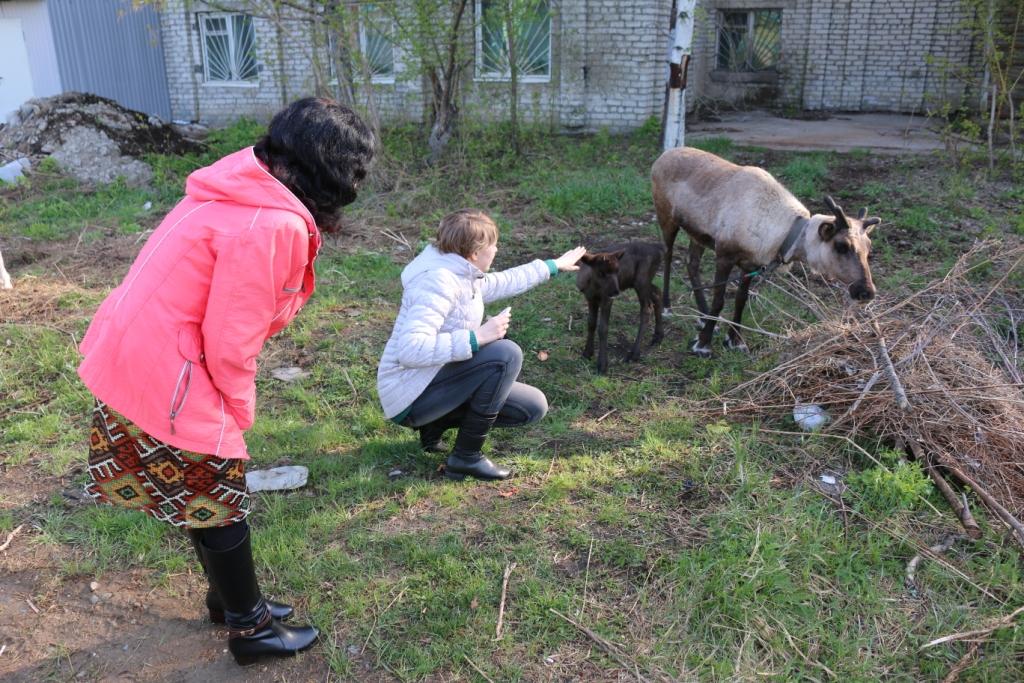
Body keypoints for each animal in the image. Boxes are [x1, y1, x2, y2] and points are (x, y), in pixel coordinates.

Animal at [577, 242, 663, 374]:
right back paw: (658, 337)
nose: (616, 291)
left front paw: (602, 365)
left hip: (642, 279)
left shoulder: (607, 300)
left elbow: (603, 328)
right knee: (657, 292)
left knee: (646, 308)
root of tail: (659, 252)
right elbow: (591, 324)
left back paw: (634, 354)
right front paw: (587, 353)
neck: (594, 288)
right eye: (601, 273)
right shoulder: (590, 298)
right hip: (639, 281)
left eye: (617, 271)